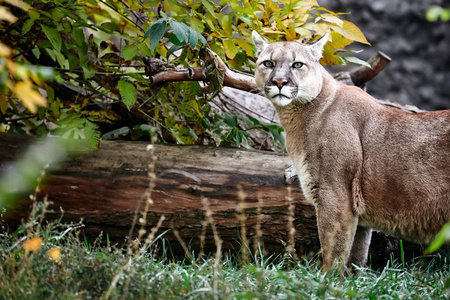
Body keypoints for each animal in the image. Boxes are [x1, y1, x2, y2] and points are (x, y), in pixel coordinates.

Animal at [253, 31, 450, 272]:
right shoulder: (358, 214)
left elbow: (332, 252)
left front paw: (324, 280)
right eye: (268, 63)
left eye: (297, 64)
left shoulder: (334, 195)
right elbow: (355, 259)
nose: (279, 82)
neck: (298, 117)